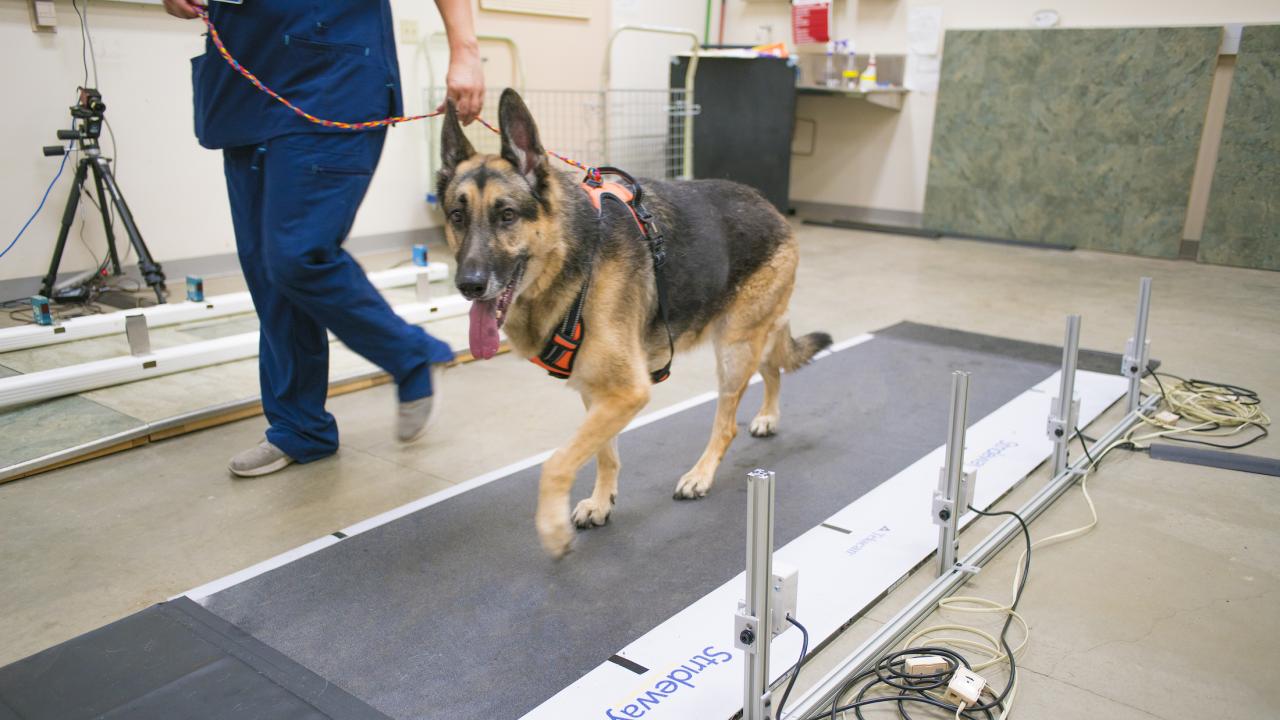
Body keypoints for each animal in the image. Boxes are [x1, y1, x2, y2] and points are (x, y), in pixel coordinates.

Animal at [437, 90, 829, 556]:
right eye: (457, 217)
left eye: (507, 215)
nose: (469, 285)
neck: (575, 258)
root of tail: (770, 206)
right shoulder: (598, 392)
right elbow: (603, 453)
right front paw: (601, 502)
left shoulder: (627, 392)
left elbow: (556, 461)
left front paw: (552, 528)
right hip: (748, 339)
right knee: (773, 368)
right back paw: (768, 416)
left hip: (734, 348)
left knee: (728, 422)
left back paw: (701, 474)